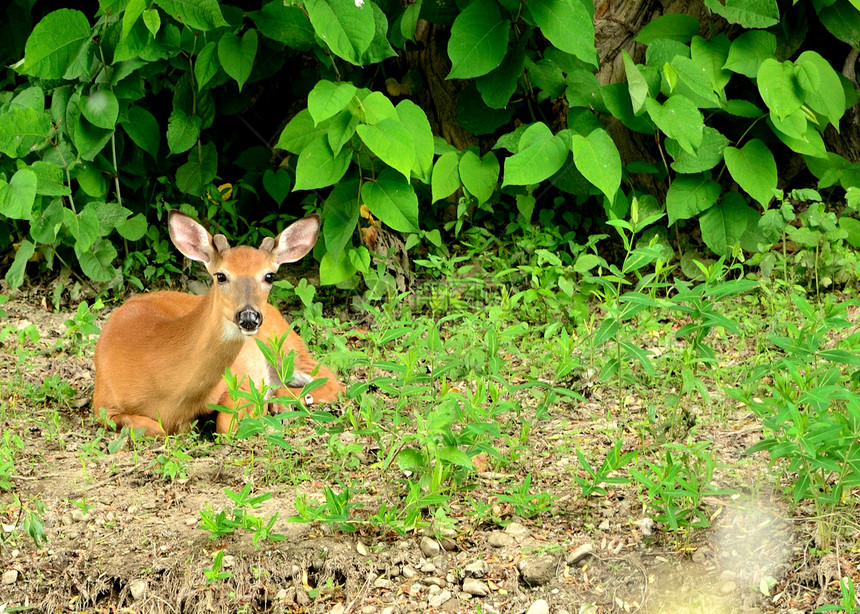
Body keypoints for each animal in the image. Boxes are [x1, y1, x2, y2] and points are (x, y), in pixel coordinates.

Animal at [93, 212, 342, 438]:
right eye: (220, 276)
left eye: (269, 276)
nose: (249, 317)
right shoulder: (102, 404)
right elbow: (154, 428)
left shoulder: (238, 381)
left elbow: (224, 423)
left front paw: (259, 410)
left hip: (284, 344)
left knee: (331, 379)